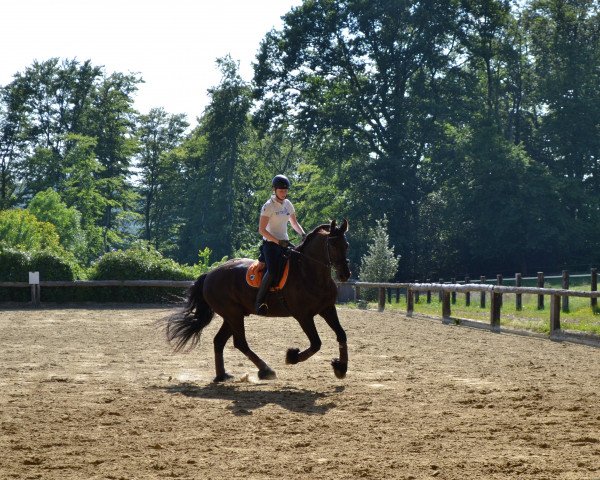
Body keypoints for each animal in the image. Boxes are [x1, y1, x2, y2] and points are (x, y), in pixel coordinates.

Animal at [165, 219, 352, 380]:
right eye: (332, 245)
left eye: (346, 245)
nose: (345, 274)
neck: (309, 273)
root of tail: (209, 274)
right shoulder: (303, 316)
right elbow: (316, 343)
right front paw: (292, 356)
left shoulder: (327, 309)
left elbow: (341, 334)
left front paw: (341, 368)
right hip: (233, 315)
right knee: (240, 343)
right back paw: (266, 370)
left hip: (232, 316)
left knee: (219, 341)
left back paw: (222, 376)